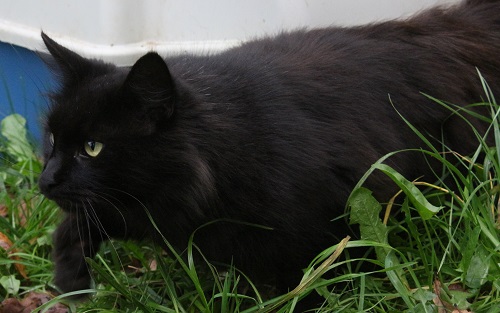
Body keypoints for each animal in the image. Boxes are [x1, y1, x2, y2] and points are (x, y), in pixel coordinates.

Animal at [38, 0, 500, 302]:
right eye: (52, 140)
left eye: (93, 148)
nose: (45, 181)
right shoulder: (144, 207)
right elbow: (77, 226)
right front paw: (71, 282)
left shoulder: (326, 238)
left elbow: (310, 290)